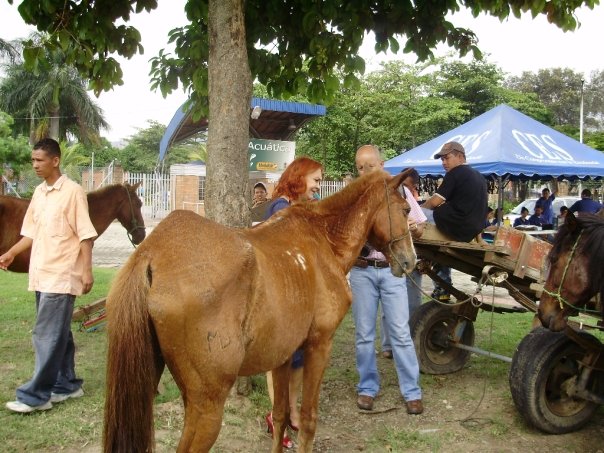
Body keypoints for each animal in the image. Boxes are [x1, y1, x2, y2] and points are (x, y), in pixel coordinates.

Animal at [102, 169, 416, 452]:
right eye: (405, 208)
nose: (411, 261)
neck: (322, 239)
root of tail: (153, 252)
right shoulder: (319, 345)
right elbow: (307, 420)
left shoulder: (283, 355)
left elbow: (280, 417)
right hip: (207, 407)